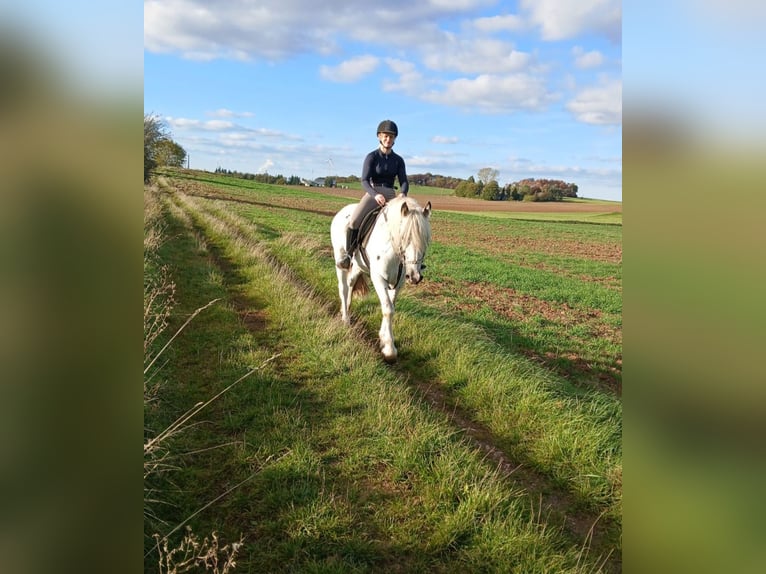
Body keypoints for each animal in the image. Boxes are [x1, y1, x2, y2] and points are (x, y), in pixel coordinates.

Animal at [330, 196, 432, 362]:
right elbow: (388, 309)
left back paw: (347, 309)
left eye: (425, 240)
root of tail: (343, 210)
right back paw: (345, 319)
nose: (414, 276)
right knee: (343, 288)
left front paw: (384, 339)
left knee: (351, 282)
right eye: (404, 237)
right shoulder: (378, 278)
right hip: (340, 260)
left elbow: (390, 307)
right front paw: (390, 350)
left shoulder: (397, 283)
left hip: (358, 265)